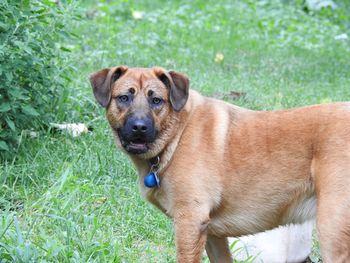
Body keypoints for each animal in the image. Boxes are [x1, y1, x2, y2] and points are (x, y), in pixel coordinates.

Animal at [89, 66, 350, 263]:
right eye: (124, 97)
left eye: (156, 100)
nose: (139, 127)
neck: (177, 135)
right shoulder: (212, 234)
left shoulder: (190, 223)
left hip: (332, 232)